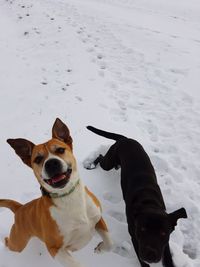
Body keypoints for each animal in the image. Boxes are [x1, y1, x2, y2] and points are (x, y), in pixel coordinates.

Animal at [0, 119, 112, 267]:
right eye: (37, 159)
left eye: (60, 150)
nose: (51, 163)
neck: (68, 196)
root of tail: (20, 208)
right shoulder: (54, 248)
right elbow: (76, 264)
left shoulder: (98, 219)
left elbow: (110, 243)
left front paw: (100, 248)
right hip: (18, 242)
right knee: (9, 243)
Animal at [85, 127, 187, 267]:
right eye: (142, 229)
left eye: (163, 233)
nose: (151, 255)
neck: (149, 202)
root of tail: (125, 139)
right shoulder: (135, 238)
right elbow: (142, 261)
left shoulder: (164, 244)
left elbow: (168, 260)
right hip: (108, 162)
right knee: (100, 157)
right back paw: (91, 165)